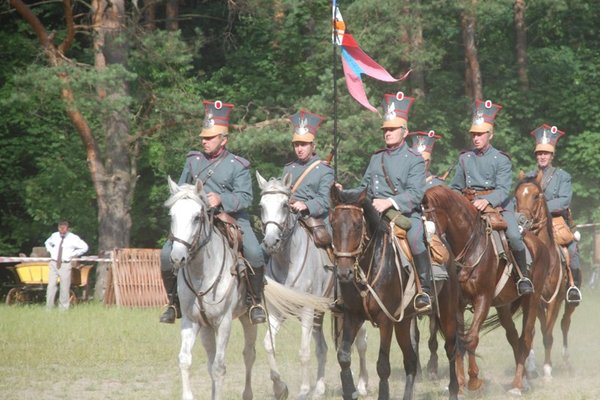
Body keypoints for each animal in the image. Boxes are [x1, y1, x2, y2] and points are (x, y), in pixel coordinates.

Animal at [166, 177, 330, 400]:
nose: (177, 257)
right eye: (172, 215)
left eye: (196, 217)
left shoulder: (224, 322)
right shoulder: (193, 322)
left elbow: (219, 367)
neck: (201, 274)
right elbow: (187, 360)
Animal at [255, 172, 368, 400]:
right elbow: (269, 345)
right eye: (261, 206)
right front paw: (280, 387)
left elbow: (304, 351)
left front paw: (304, 389)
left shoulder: (307, 311)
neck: (287, 261)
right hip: (322, 315)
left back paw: (361, 385)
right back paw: (321, 388)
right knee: (325, 348)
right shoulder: (277, 312)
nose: (271, 242)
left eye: (285, 205)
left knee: (361, 344)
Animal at [328, 187, 460, 400]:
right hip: (404, 323)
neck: (370, 265)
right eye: (333, 224)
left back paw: (454, 390)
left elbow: (383, 366)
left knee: (451, 349)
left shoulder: (385, 321)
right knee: (411, 360)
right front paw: (350, 391)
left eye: (357, 225)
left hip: (447, 314)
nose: (343, 272)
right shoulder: (352, 315)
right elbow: (344, 356)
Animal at [422, 185, 548, 396]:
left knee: (526, 338)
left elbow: (471, 339)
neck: (469, 245)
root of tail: (539, 244)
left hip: (531, 299)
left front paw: (474, 381)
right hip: (503, 307)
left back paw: (517, 385)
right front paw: (460, 385)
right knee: (513, 337)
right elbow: (459, 342)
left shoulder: (483, 299)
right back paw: (524, 380)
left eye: (427, 221)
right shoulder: (457, 304)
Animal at [512, 177, 580, 380]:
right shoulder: (536, 300)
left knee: (565, 323)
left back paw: (566, 361)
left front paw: (548, 369)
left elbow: (548, 333)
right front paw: (532, 367)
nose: (521, 220)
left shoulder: (554, 301)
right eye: (516, 196)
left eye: (536, 196)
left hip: (570, 302)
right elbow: (535, 330)